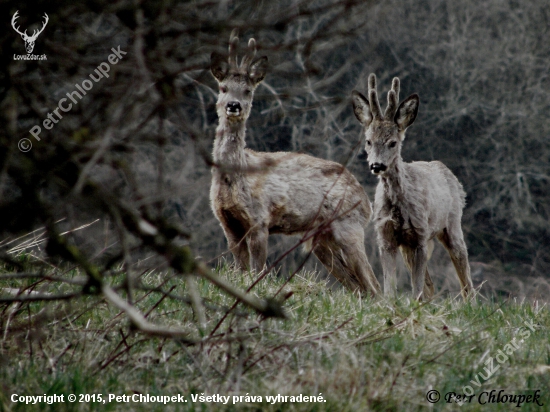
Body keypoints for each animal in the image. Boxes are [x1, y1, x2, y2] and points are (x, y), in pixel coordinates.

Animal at [209, 30, 382, 294]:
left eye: (248, 90)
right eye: (222, 87)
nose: (233, 105)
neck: (235, 176)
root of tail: (366, 200)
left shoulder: (259, 220)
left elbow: (257, 271)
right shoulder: (227, 222)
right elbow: (240, 270)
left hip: (349, 226)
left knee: (373, 284)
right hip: (322, 239)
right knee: (357, 285)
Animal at [356, 73, 476, 300]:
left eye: (393, 142)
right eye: (368, 141)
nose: (376, 165)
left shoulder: (420, 233)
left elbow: (417, 287)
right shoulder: (385, 235)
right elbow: (390, 287)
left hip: (451, 224)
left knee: (465, 277)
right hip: (409, 245)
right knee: (431, 286)